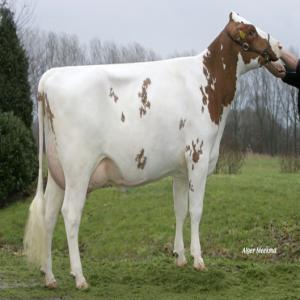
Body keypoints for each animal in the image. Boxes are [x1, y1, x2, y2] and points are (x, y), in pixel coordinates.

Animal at [24, 11, 284, 288]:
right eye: (251, 31)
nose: (278, 48)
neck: (209, 85)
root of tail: (51, 76)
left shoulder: (180, 169)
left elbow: (180, 209)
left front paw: (180, 256)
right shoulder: (198, 156)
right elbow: (196, 210)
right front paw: (198, 259)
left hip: (57, 171)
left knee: (49, 215)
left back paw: (50, 276)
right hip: (78, 168)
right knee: (70, 214)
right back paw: (79, 277)